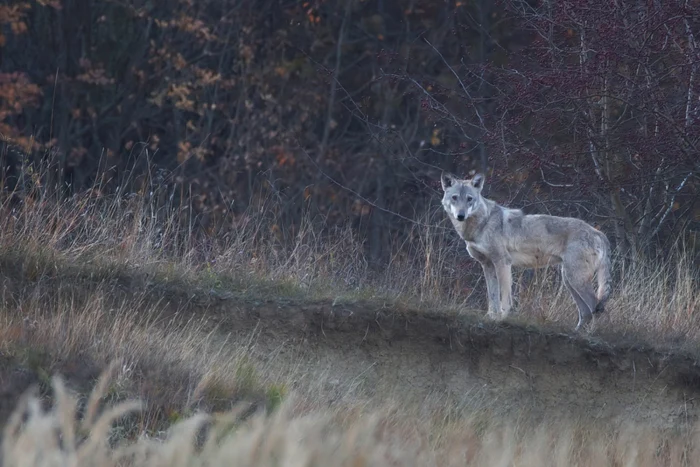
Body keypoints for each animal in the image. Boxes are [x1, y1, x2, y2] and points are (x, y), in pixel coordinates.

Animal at [442, 171, 612, 330]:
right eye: (455, 198)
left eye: (469, 199)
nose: (460, 215)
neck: (482, 223)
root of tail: (599, 233)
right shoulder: (488, 265)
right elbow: (493, 297)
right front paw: (491, 317)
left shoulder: (503, 262)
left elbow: (505, 298)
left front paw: (502, 319)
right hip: (569, 280)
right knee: (587, 312)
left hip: (575, 279)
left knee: (598, 307)